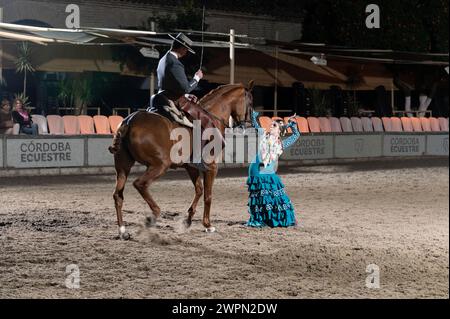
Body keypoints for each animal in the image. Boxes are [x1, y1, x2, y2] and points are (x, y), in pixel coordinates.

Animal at [109, 82, 253, 240]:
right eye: (250, 102)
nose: (249, 124)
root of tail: (129, 121)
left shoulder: (191, 167)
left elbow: (199, 190)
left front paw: (188, 220)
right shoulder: (212, 167)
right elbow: (208, 195)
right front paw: (208, 225)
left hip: (123, 166)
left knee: (118, 196)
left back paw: (123, 231)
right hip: (160, 165)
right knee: (140, 184)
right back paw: (153, 216)